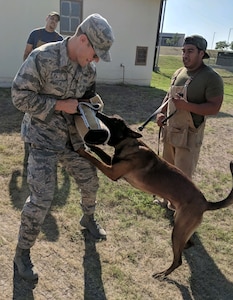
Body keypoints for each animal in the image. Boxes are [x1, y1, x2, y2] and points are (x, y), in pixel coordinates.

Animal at [77, 111, 233, 278]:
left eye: (115, 121)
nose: (98, 112)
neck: (130, 144)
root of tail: (205, 202)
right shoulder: (113, 163)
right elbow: (99, 152)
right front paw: (89, 145)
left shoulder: (112, 171)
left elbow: (94, 159)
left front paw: (81, 150)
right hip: (181, 226)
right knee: (189, 243)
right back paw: (183, 249)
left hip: (178, 230)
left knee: (178, 260)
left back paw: (163, 274)